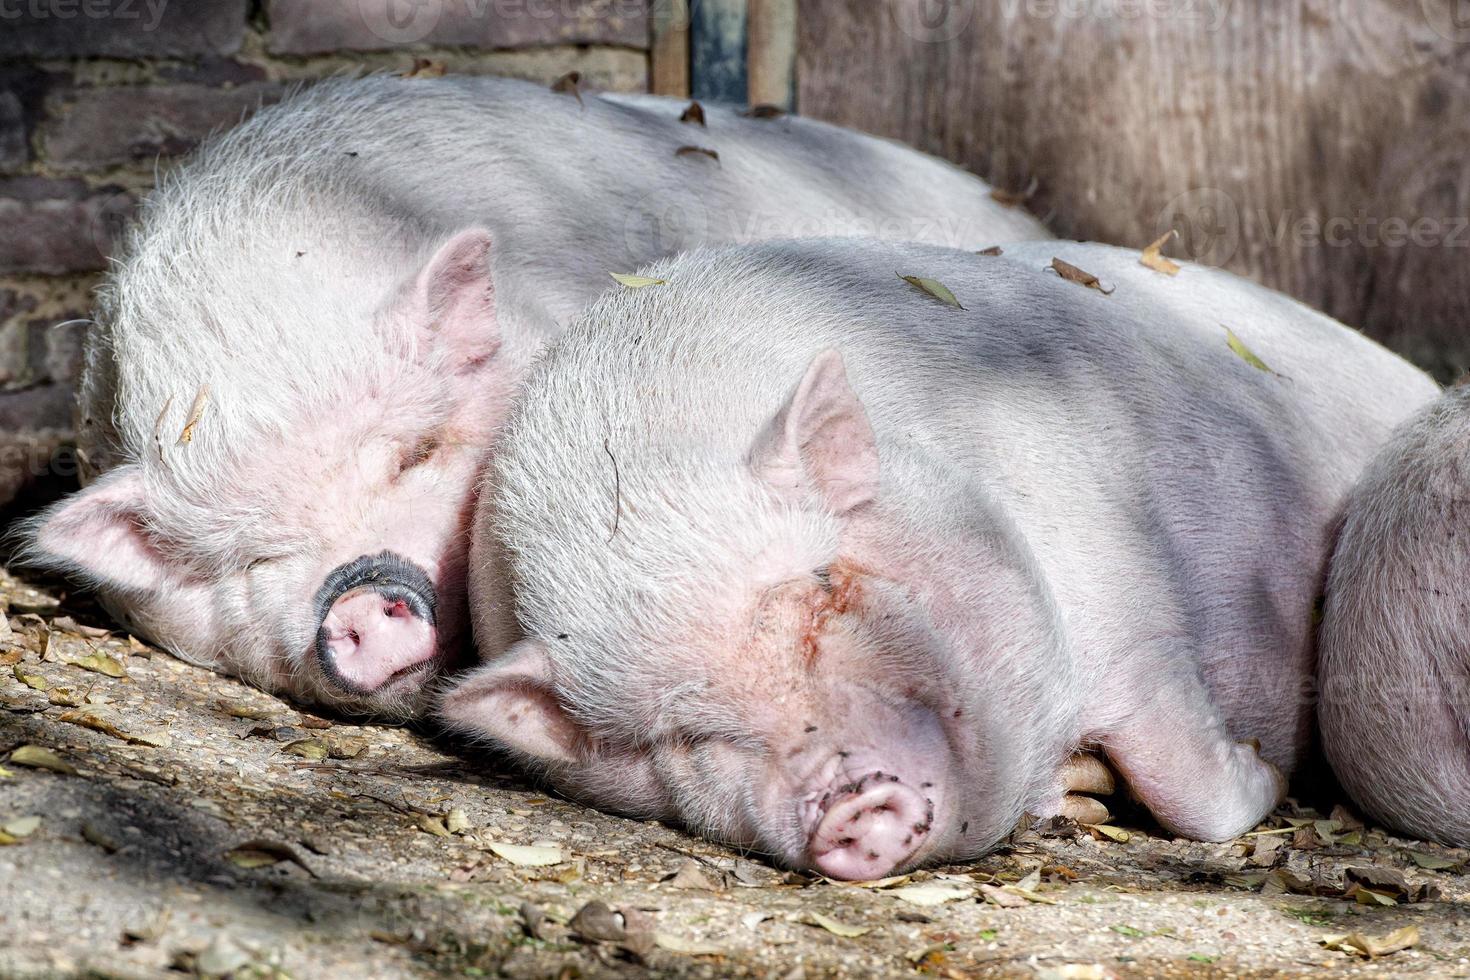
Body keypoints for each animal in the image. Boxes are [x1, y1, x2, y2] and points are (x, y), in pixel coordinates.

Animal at [438, 239, 1434, 881]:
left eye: (822, 588)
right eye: (684, 735)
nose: (850, 801)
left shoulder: (1133, 616)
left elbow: (1192, 786)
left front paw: (1265, 774)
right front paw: (1085, 796)